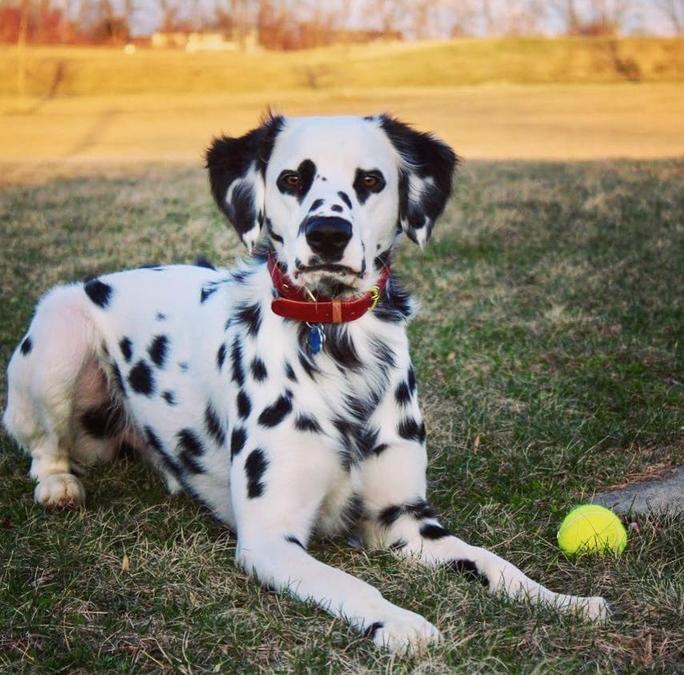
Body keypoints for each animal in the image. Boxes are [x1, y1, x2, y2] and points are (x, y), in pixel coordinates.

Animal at [2, 113, 608, 652]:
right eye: (292, 179)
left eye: (371, 181)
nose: (328, 233)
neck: (337, 346)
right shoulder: (270, 539)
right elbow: (354, 585)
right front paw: (403, 623)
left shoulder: (407, 521)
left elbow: (491, 561)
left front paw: (560, 599)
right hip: (57, 337)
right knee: (42, 446)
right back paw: (58, 486)